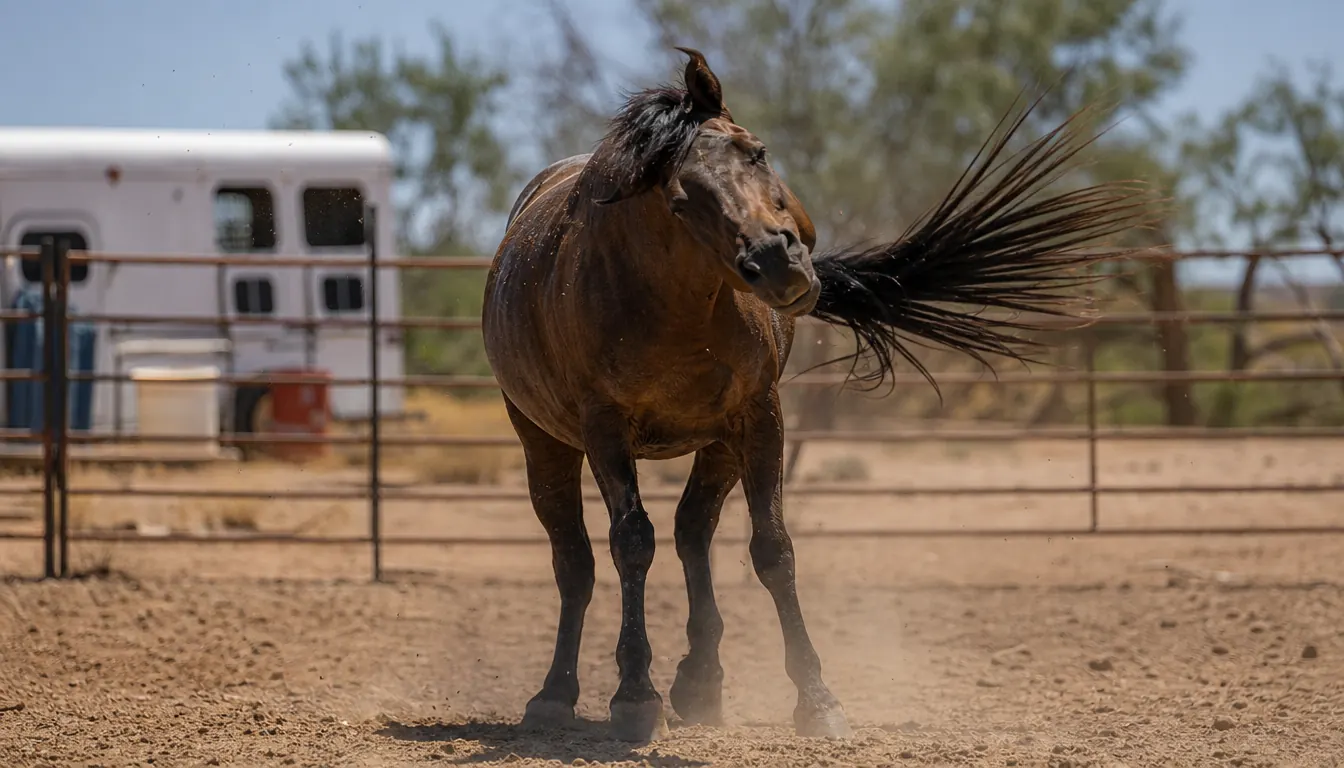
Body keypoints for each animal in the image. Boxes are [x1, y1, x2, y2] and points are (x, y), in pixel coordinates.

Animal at [481, 47, 1151, 742]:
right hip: (544, 443)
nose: (779, 262)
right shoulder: (605, 430)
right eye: (680, 200)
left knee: (692, 531)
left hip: (719, 442)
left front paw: (816, 696)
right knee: (576, 561)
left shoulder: (760, 416)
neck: (672, 307)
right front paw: (635, 697)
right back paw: (555, 695)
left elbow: (773, 549)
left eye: (756, 151)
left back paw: (700, 682)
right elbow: (632, 544)